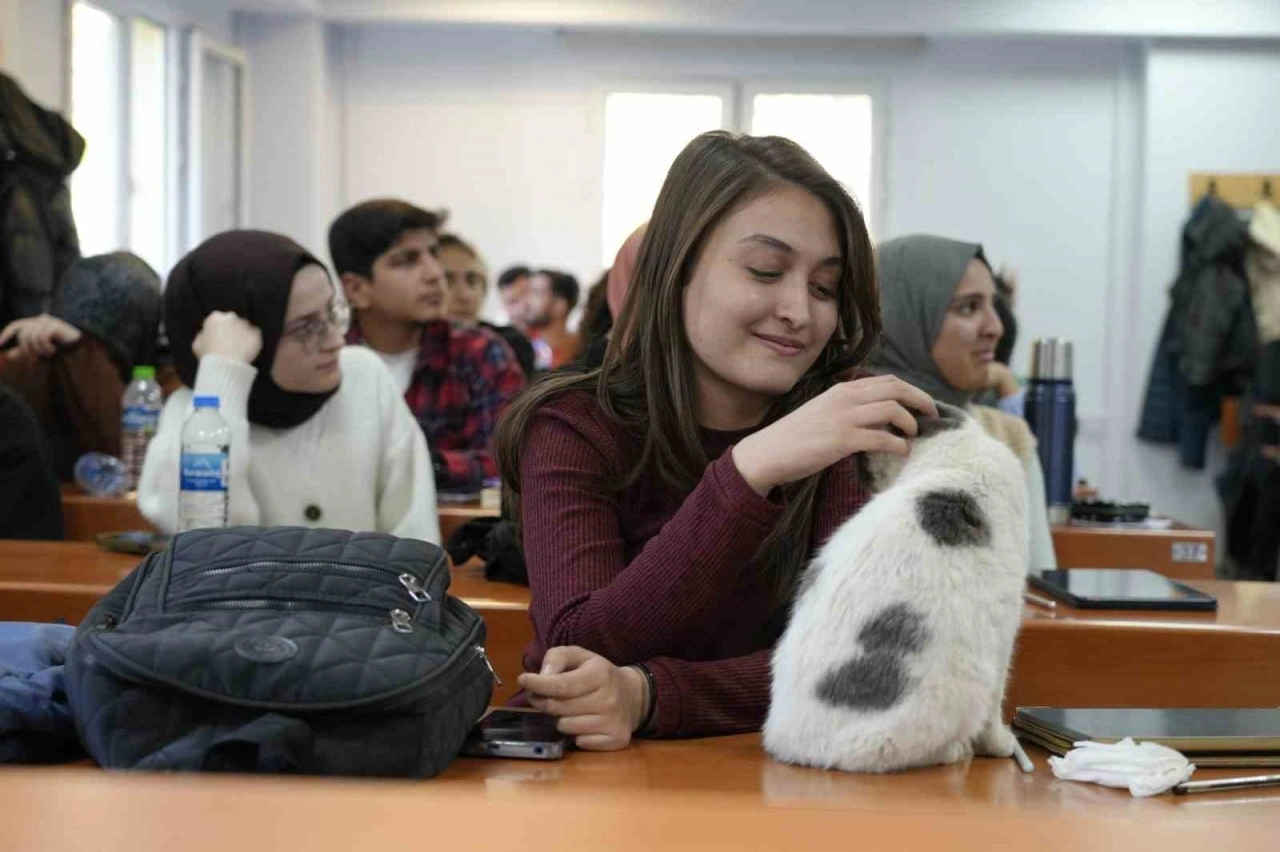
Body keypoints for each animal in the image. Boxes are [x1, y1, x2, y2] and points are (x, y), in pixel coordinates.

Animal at [763, 402, 1028, 773]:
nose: (856, 471)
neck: (952, 451)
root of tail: (795, 749)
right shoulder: (1005, 629)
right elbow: (996, 706)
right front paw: (1001, 743)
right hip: (965, 679)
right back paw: (956, 750)